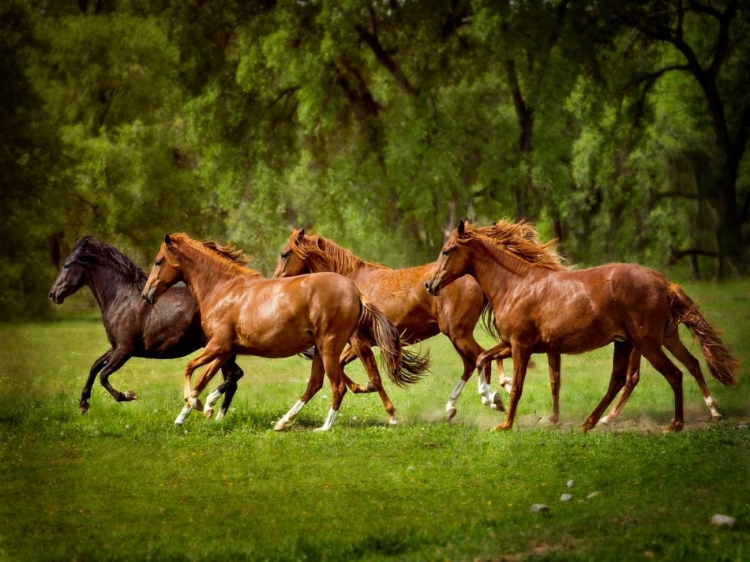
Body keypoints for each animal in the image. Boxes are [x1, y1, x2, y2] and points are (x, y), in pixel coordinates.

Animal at [47, 236, 245, 416]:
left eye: (67, 265)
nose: (53, 294)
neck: (121, 298)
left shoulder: (125, 349)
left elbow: (103, 375)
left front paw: (128, 395)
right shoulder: (116, 347)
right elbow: (95, 366)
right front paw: (83, 404)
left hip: (221, 350)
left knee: (235, 375)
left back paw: (204, 405)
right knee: (233, 381)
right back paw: (217, 415)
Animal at [142, 232, 428, 428]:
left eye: (158, 261)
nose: (146, 295)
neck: (223, 289)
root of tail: (355, 292)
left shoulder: (218, 345)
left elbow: (190, 369)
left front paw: (196, 405)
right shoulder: (224, 349)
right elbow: (204, 379)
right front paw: (192, 412)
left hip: (329, 346)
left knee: (337, 386)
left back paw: (325, 428)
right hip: (324, 350)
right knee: (315, 384)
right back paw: (283, 422)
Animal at [276, 225, 512, 418]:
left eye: (284, 254)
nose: (276, 281)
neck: (351, 281)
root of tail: (473, 277)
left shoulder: (359, 343)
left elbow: (373, 375)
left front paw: (390, 412)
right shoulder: (360, 342)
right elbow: (343, 366)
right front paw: (363, 387)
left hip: (459, 334)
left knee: (482, 358)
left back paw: (493, 398)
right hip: (456, 336)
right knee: (472, 362)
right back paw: (453, 406)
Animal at [426, 219, 744, 428]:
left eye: (447, 250)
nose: (430, 284)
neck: (515, 284)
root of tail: (663, 282)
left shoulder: (521, 346)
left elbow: (516, 386)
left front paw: (504, 423)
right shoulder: (512, 344)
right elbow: (483, 358)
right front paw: (489, 399)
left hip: (647, 343)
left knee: (672, 375)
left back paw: (674, 425)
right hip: (636, 341)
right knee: (633, 377)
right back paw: (591, 423)